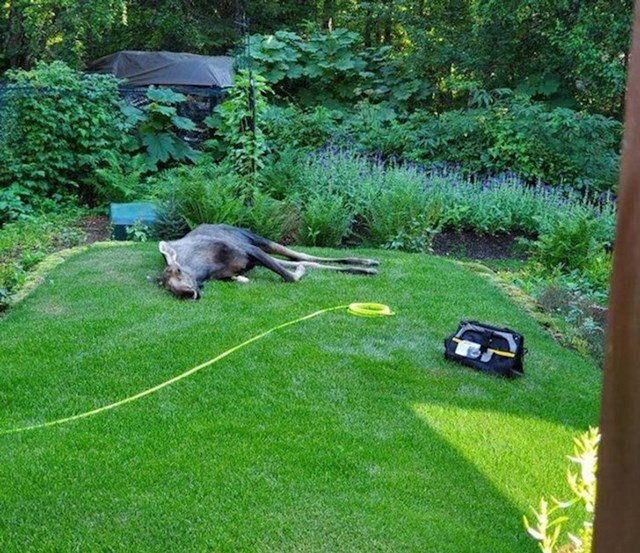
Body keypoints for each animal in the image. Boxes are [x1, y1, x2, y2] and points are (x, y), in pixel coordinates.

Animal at [160, 223, 380, 298]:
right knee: (307, 261)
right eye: (167, 287)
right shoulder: (246, 263)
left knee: (304, 256)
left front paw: (299, 273)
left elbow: (290, 276)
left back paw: (368, 262)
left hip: (259, 240)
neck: (207, 269)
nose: (186, 293)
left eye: (177, 270)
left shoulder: (251, 249)